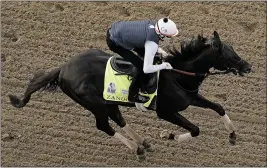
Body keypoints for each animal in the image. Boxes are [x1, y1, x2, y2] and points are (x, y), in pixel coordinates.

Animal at [7, 31, 251, 160]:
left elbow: (219, 107)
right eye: (229, 55)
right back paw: (137, 149)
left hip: (108, 101)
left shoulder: (191, 98)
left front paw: (232, 135)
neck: (178, 74)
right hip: (94, 104)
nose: (248, 67)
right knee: (104, 126)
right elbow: (195, 129)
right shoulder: (166, 112)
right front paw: (171, 136)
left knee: (119, 120)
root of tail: (62, 69)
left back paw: (143, 143)